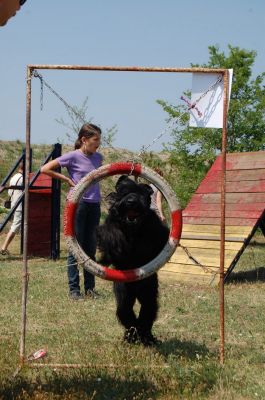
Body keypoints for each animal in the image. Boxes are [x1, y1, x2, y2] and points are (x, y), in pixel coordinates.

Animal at [96, 177, 168, 346]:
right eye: (124, 192)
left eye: (140, 193)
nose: (130, 202)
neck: (132, 228)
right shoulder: (110, 227)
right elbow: (110, 236)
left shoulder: (155, 227)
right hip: (125, 292)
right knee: (125, 310)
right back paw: (131, 336)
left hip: (148, 290)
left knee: (148, 309)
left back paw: (146, 336)